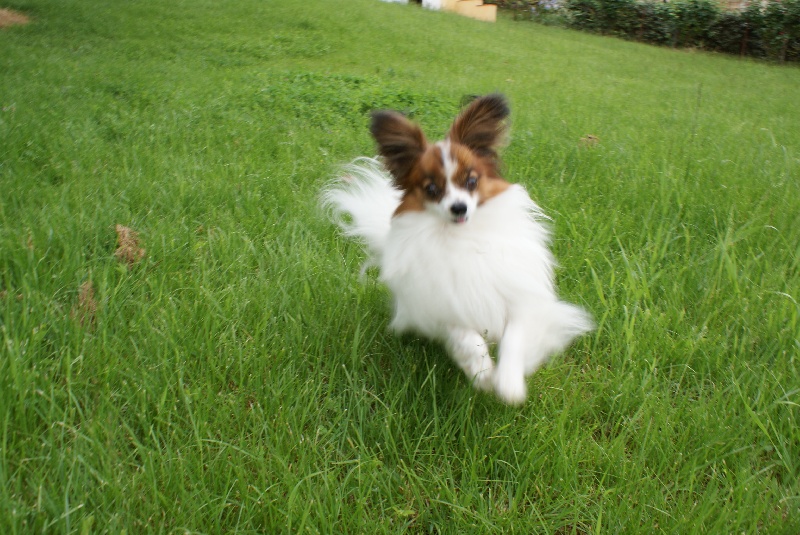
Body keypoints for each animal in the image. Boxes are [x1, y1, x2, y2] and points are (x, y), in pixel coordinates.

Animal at [322, 94, 593, 404]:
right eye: (431, 189)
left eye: (471, 181)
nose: (459, 207)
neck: (463, 236)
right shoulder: (444, 303)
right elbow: (468, 339)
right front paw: (483, 373)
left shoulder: (518, 297)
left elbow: (514, 338)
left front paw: (509, 383)